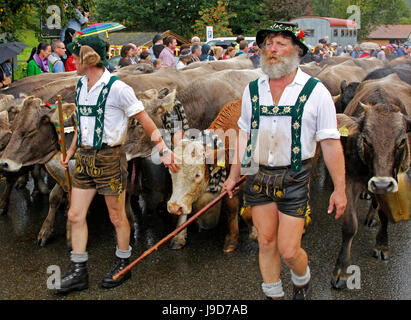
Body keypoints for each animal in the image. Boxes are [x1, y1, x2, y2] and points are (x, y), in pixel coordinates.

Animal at [332, 74, 411, 288]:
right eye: (366, 139)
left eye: (401, 141)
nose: (381, 184)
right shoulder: (349, 178)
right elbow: (349, 224)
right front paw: (341, 270)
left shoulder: (391, 181)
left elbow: (384, 214)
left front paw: (382, 245)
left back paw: (371, 216)